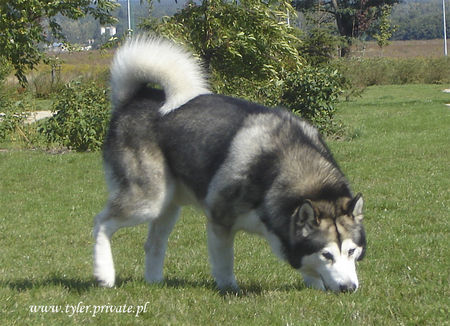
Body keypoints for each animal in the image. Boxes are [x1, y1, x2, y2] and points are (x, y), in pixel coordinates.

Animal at [94, 37, 366, 292]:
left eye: (351, 251)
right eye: (327, 254)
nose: (349, 288)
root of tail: (134, 98)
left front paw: (315, 285)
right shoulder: (219, 220)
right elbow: (225, 263)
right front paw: (229, 289)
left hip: (167, 205)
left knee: (153, 243)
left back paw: (155, 283)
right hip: (149, 200)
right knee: (101, 222)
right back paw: (104, 274)